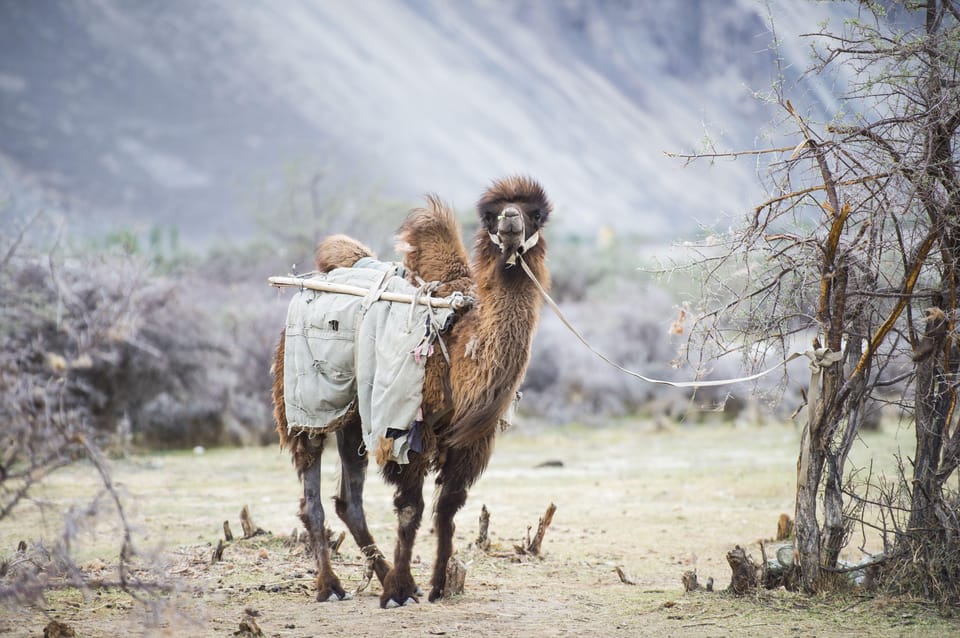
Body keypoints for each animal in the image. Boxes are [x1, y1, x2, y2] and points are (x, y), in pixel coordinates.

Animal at [274, 175, 552, 608]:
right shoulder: (407, 428)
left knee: (349, 501)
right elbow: (410, 509)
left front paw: (436, 585)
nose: (510, 220)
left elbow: (448, 509)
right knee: (312, 496)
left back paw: (379, 574)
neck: (460, 349)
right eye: (490, 214)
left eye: (536, 213)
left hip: (355, 415)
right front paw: (399, 592)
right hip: (305, 405)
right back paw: (330, 586)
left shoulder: (469, 444)